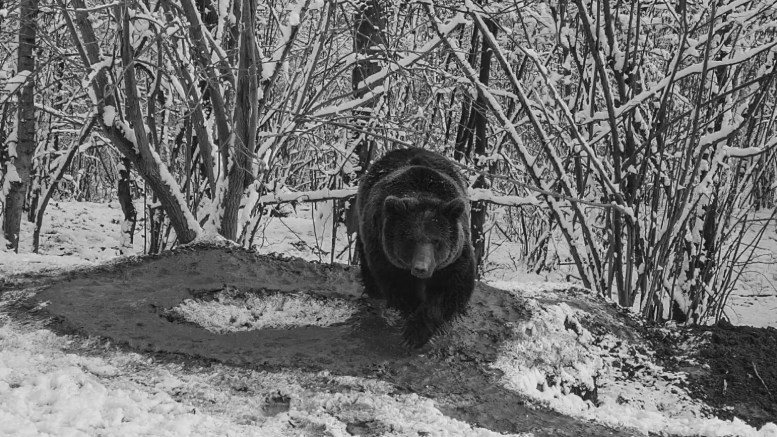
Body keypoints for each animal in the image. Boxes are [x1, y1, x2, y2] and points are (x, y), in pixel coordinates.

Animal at [355, 148, 476, 349]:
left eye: (436, 241)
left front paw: (418, 331)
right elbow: (400, 288)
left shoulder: (456, 257)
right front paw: (413, 327)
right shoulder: (385, 255)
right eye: (410, 240)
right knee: (369, 274)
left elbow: (452, 289)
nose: (421, 268)